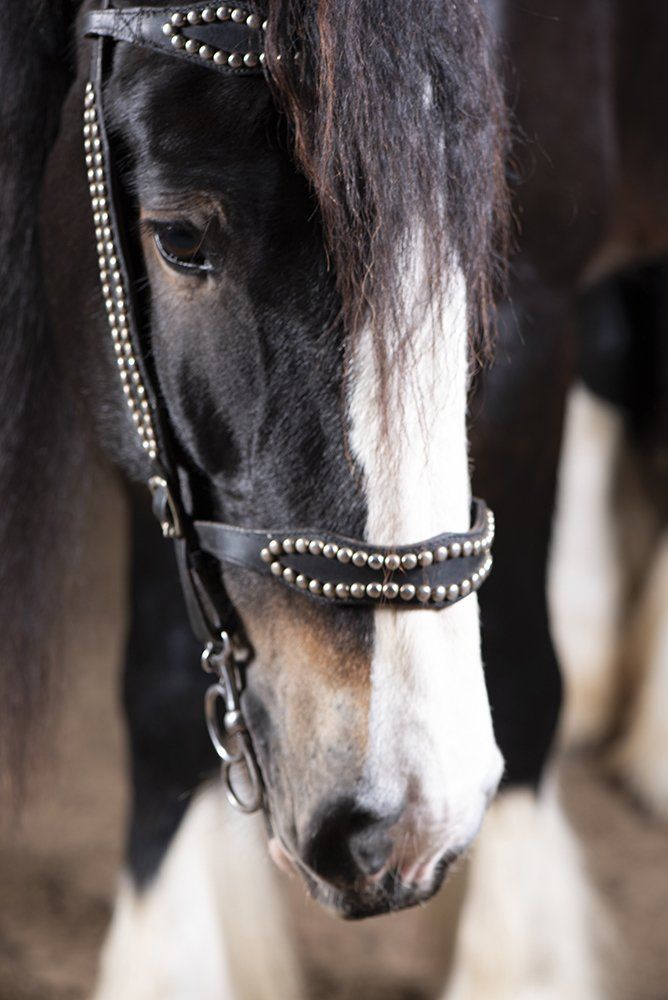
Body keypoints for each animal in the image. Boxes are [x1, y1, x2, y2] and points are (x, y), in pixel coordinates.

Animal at [1, 0, 667, 997]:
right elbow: (159, 692)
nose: (398, 824)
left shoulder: (533, 305)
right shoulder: (145, 429)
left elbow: (520, 671)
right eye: (179, 239)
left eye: (477, 232)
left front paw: (520, 963)